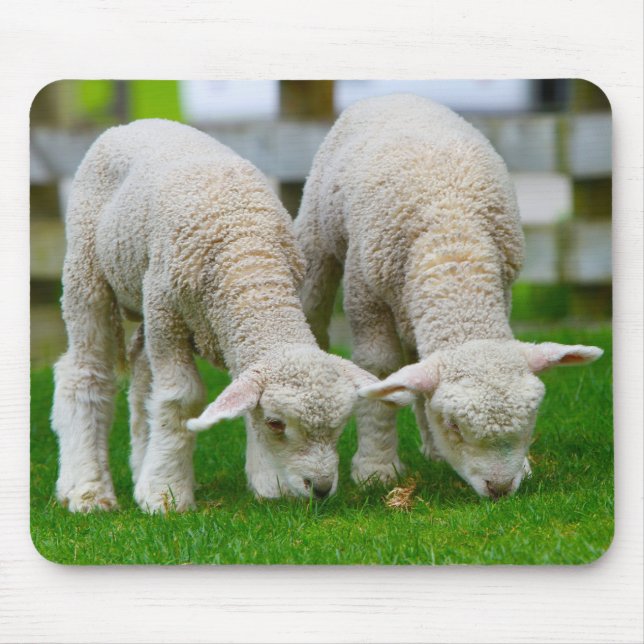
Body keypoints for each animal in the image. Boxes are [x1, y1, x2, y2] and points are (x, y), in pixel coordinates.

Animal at [51, 118, 381, 513]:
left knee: (143, 378)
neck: (248, 258)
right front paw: (166, 493)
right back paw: (88, 490)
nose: (320, 487)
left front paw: (265, 482)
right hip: (87, 270)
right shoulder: (167, 313)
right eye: (276, 423)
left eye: (341, 424)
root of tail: (131, 124)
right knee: (84, 372)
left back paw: (141, 466)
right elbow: (181, 398)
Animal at [294, 94, 603, 499]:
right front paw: (377, 468)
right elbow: (379, 369)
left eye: (532, 418)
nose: (500, 488)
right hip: (319, 235)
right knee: (315, 307)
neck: (453, 244)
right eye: (455, 426)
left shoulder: (502, 288)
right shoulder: (367, 296)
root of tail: (394, 95)